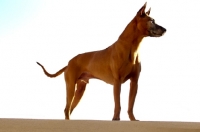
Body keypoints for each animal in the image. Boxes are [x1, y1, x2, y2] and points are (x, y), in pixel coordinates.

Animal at [36, 2, 166, 120]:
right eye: (152, 21)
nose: (165, 29)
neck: (132, 47)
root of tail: (68, 63)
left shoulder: (134, 82)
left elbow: (131, 105)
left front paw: (133, 119)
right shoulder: (117, 82)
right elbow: (118, 104)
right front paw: (115, 118)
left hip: (80, 89)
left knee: (69, 109)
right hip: (71, 86)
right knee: (67, 108)